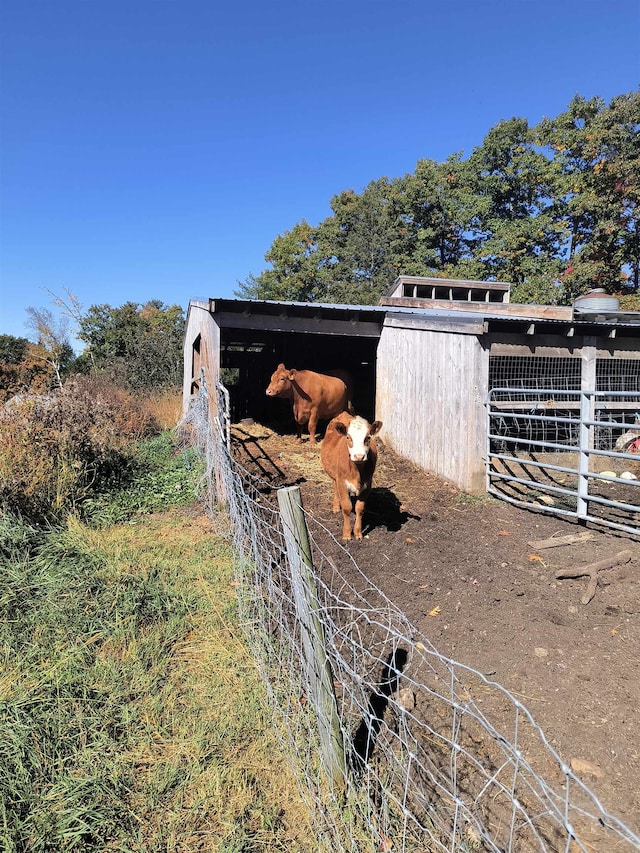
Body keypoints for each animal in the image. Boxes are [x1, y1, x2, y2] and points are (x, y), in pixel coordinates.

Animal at [318, 412, 380, 540]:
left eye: (368, 437)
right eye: (348, 437)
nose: (359, 456)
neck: (357, 471)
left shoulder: (367, 485)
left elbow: (359, 508)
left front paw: (358, 533)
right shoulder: (342, 482)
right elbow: (347, 508)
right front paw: (346, 534)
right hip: (334, 476)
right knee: (335, 488)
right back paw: (336, 507)